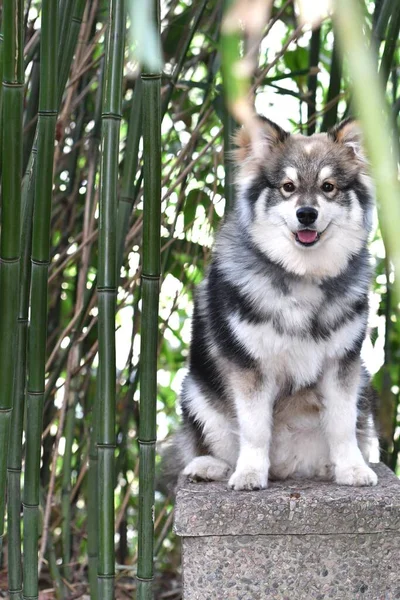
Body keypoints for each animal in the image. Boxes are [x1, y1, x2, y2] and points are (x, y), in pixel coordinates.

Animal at [166, 117, 378, 492]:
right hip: (194, 391)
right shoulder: (250, 367)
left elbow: (341, 425)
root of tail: (286, 467)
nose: (306, 214)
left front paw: (352, 469)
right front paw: (250, 473)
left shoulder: (343, 363)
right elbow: (254, 429)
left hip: (365, 382)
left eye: (328, 187)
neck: (302, 274)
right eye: (287, 187)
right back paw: (210, 466)